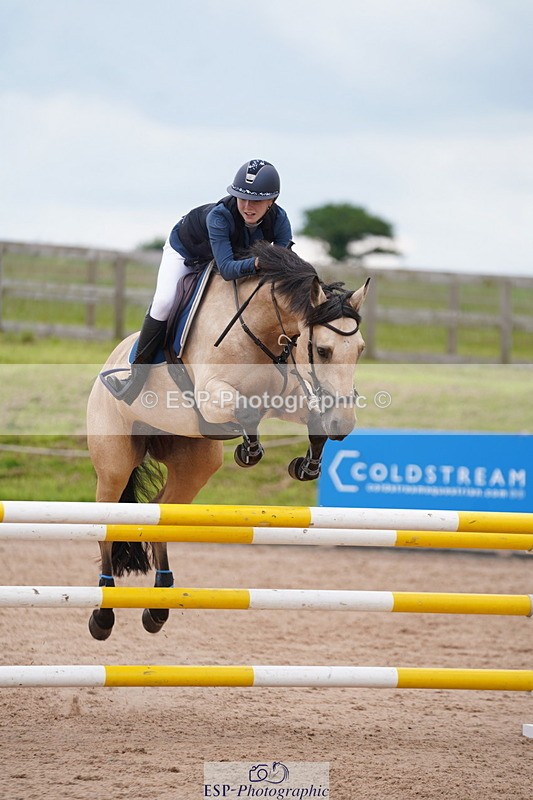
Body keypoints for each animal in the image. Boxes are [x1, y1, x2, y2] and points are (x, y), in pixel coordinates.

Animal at [86, 242, 369, 639]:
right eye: (324, 350)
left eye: (359, 350)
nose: (343, 425)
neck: (264, 331)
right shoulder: (212, 394)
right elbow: (242, 408)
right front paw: (250, 451)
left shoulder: (291, 394)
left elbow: (312, 418)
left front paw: (306, 466)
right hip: (115, 465)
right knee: (108, 526)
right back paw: (104, 613)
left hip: (196, 464)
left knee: (160, 511)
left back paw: (158, 607)